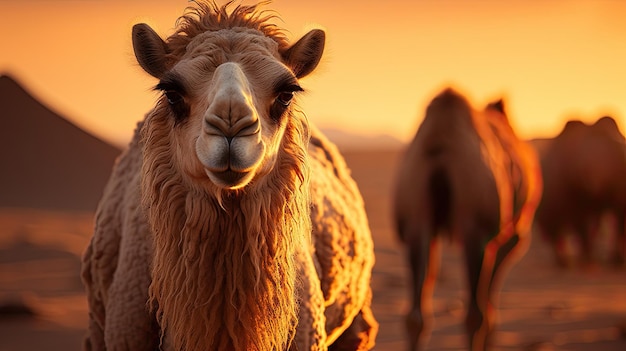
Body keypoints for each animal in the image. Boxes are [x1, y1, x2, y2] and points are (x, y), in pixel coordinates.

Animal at [392, 88, 544, 351]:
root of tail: (440, 148)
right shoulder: (509, 235)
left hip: (415, 214)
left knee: (415, 315)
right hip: (476, 225)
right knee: (474, 314)